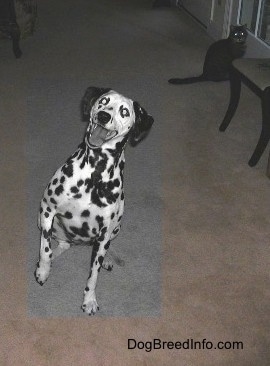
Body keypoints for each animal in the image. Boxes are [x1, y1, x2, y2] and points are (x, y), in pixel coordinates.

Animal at [34, 86, 153, 314]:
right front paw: (43, 270)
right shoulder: (47, 209)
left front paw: (89, 300)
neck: (94, 175)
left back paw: (106, 260)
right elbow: (44, 248)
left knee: (98, 249)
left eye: (124, 111)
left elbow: (93, 275)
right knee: (61, 244)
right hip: (46, 223)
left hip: (115, 229)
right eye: (103, 101)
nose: (103, 116)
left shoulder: (105, 232)